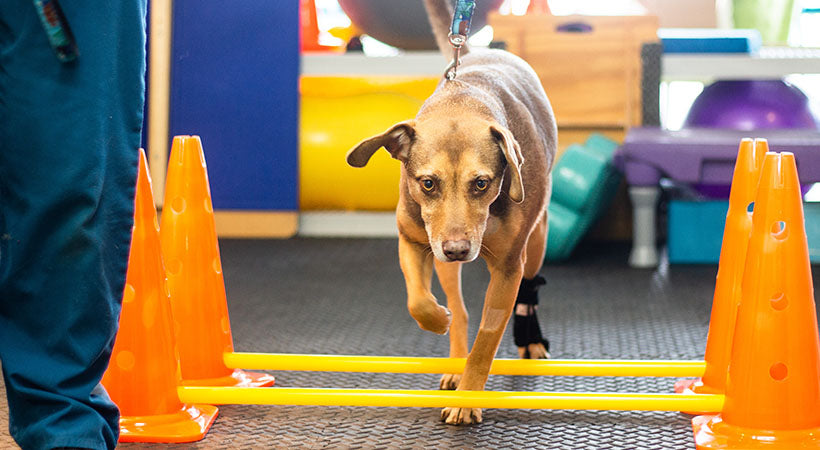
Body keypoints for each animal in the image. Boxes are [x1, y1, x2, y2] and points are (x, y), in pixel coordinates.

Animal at [346, 0, 556, 426]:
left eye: (482, 183)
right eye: (428, 183)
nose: (457, 249)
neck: (463, 99)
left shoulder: (507, 268)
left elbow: (487, 341)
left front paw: (468, 397)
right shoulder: (414, 240)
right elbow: (419, 299)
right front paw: (436, 320)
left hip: (537, 241)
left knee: (530, 287)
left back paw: (529, 339)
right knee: (460, 309)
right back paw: (453, 355)